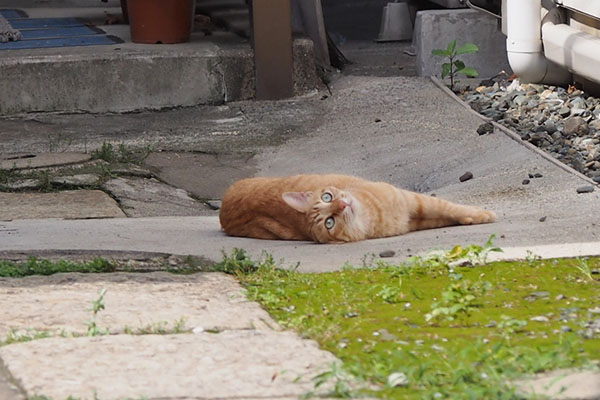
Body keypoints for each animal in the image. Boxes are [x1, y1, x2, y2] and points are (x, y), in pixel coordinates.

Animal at [218, 173, 494, 242]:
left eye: (327, 196)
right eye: (329, 222)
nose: (342, 204)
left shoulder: (414, 203)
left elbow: (449, 208)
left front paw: (478, 215)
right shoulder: (414, 216)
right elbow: (447, 212)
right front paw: (479, 216)